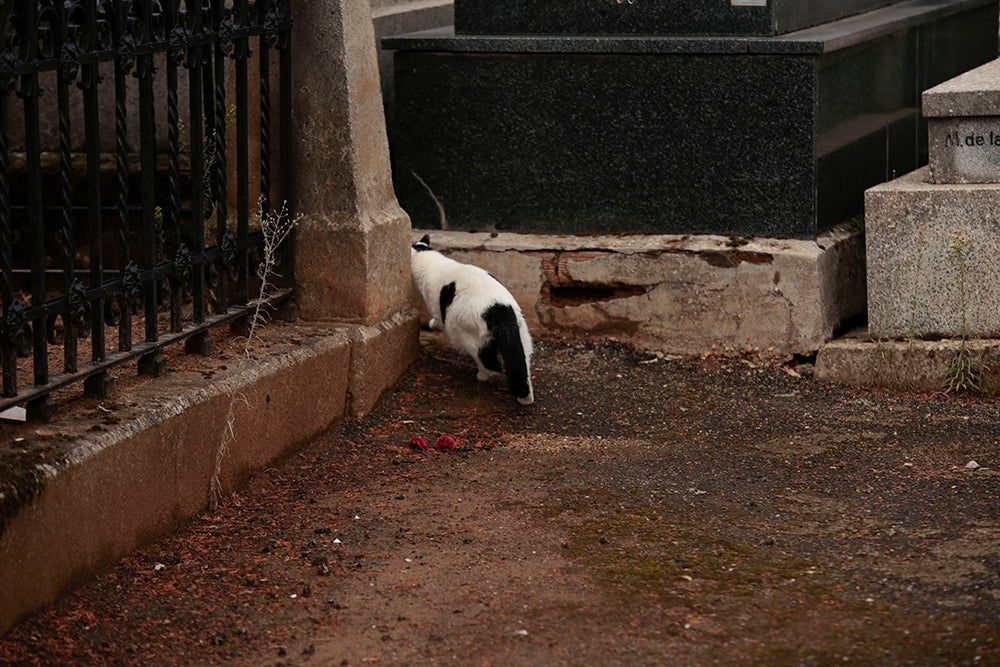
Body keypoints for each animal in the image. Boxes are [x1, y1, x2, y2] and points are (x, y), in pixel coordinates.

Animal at [408, 235, 532, 408]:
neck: (432, 262)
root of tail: (498, 309)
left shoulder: (435, 304)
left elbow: (437, 318)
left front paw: (432, 323)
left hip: (468, 336)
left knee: (491, 365)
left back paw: (483, 375)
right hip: (520, 336)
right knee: (521, 365)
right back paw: (526, 398)